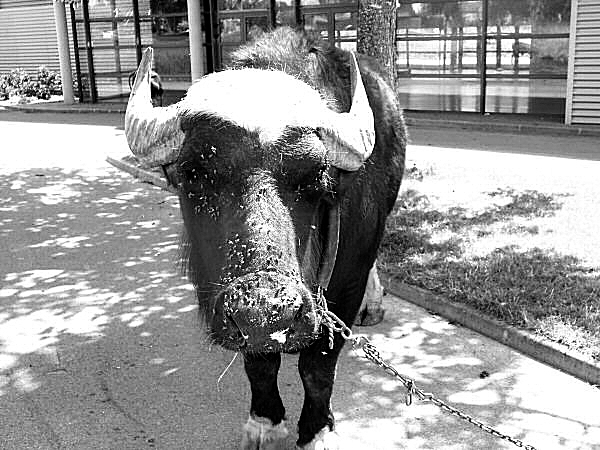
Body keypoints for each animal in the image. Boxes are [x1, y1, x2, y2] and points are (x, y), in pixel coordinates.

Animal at [125, 26, 408, 448]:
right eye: (193, 173)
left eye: (317, 175)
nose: (263, 308)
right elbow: (260, 362)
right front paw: (265, 423)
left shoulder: (346, 285)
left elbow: (317, 368)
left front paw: (316, 431)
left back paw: (372, 306)